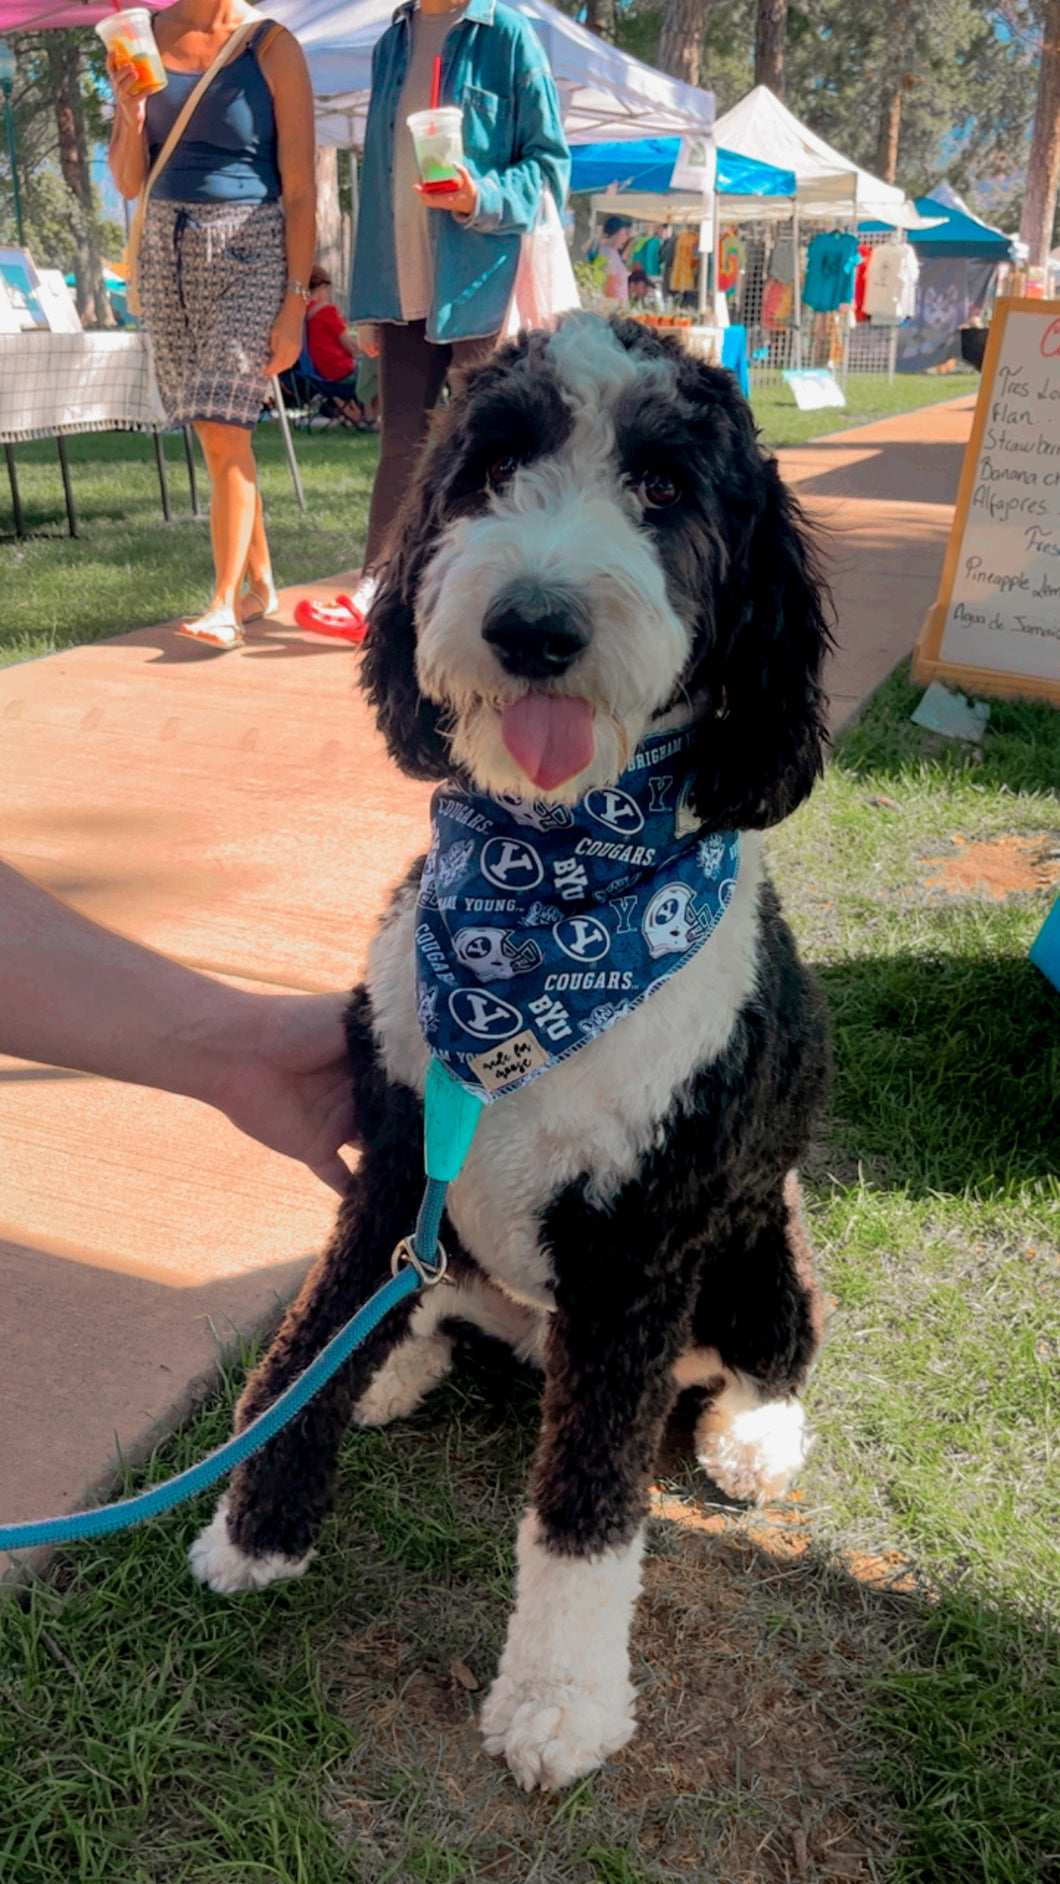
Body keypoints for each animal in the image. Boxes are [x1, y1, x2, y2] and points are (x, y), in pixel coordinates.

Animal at [191, 312, 839, 1793]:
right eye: (488, 469)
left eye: (662, 487)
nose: (532, 626)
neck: (548, 900)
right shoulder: (390, 1143)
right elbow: (311, 1335)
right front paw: (257, 1524)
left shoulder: (641, 1247)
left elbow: (587, 1505)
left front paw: (557, 1702)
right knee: (423, 1298)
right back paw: (405, 1355)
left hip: (758, 1241)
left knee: (778, 1348)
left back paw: (753, 1436)